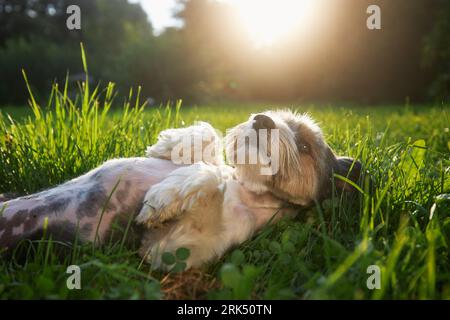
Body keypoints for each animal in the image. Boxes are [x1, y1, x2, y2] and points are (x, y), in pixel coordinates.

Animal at [0, 110, 360, 270]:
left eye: (304, 146)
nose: (261, 119)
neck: (247, 187)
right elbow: (210, 137)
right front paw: (170, 145)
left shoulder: (166, 250)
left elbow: (207, 178)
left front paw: (162, 200)